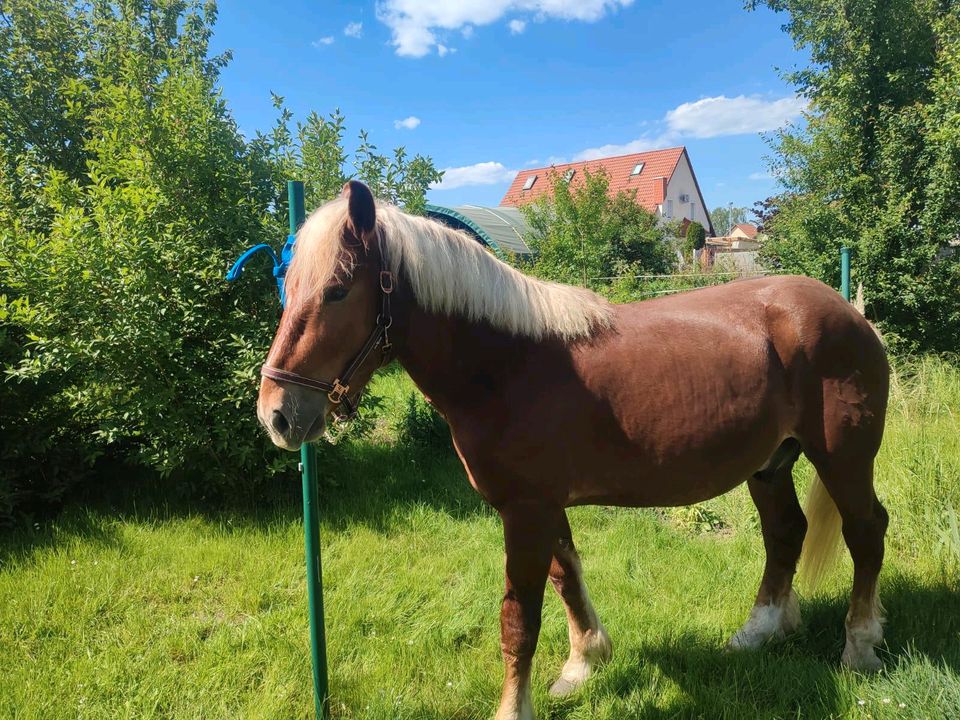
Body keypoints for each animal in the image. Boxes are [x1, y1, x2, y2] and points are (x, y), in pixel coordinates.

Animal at [256, 181, 892, 720]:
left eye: (337, 291)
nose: (276, 414)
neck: (507, 366)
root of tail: (849, 312)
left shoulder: (525, 512)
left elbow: (519, 620)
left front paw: (515, 707)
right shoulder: (542, 508)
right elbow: (567, 576)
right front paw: (585, 660)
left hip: (843, 459)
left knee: (865, 530)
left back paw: (859, 647)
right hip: (770, 464)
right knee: (785, 532)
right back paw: (758, 632)